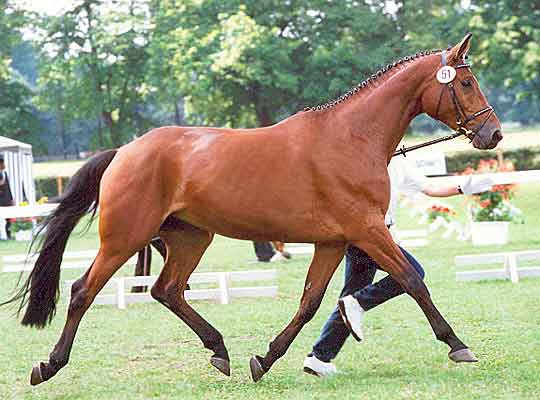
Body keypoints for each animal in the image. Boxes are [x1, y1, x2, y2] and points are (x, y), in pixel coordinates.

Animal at [3, 33, 502, 384]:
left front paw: (265, 358)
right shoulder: (367, 229)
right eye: (466, 82)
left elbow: (309, 302)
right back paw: (49, 365)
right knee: (83, 291)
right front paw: (457, 344)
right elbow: (412, 281)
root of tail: (125, 150)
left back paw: (219, 350)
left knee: (167, 290)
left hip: (190, 237)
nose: (492, 134)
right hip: (125, 237)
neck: (351, 137)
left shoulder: (333, 240)